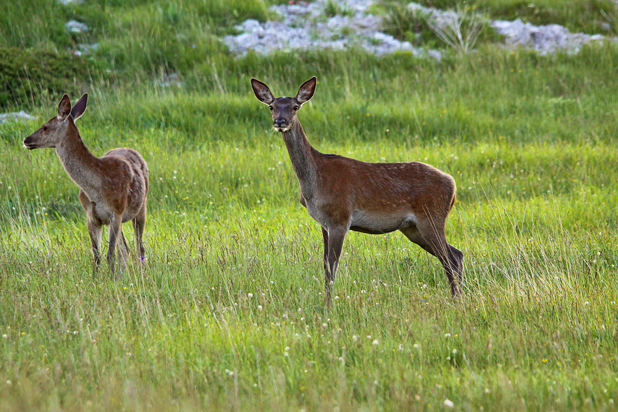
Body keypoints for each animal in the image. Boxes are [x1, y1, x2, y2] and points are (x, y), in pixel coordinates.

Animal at [24, 95, 150, 278]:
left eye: (45, 126)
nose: (26, 139)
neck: (97, 187)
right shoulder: (92, 217)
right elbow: (96, 255)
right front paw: (98, 279)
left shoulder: (116, 212)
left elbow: (109, 254)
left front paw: (111, 280)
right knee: (125, 249)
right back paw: (122, 275)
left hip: (140, 208)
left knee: (139, 247)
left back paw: (140, 273)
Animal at [250, 77, 462, 302]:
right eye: (272, 107)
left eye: (295, 107)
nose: (280, 122)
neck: (314, 183)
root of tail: (453, 185)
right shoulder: (324, 224)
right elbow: (324, 267)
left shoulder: (340, 218)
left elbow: (331, 270)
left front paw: (329, 306)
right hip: (412, 228)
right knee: (456, 255)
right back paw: (459, 297)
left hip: (431, 217)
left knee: (450, 259)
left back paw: (457, 300)